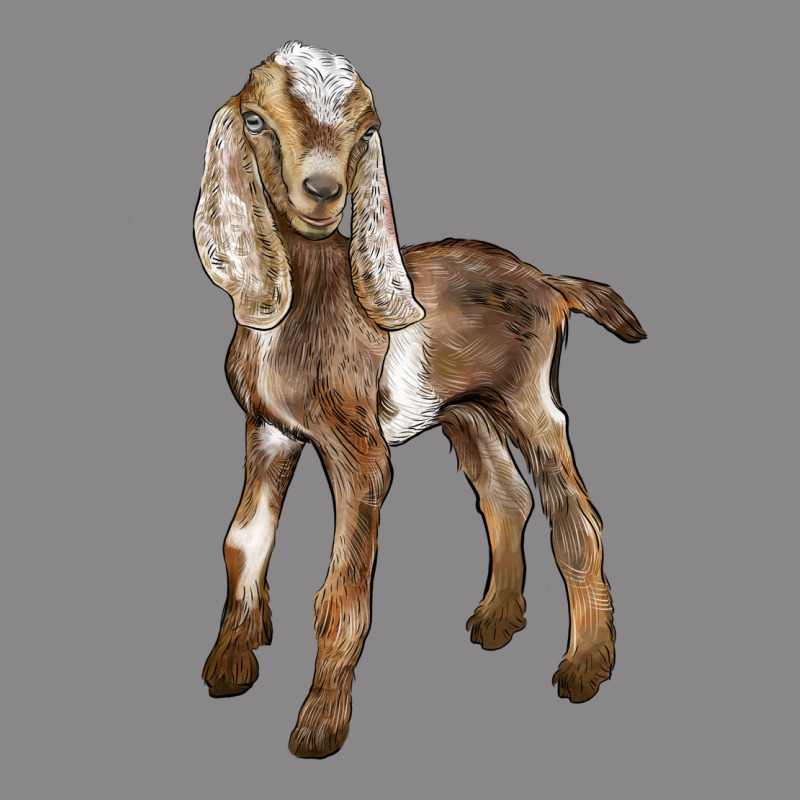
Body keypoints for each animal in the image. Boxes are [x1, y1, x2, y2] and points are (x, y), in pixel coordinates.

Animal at [194, 42, 646, 759]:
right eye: (257, 122)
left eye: (364, 134)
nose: (323, 193)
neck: (311, 293)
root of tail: (549, 280)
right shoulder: (268, 430)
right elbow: (243, 542)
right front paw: (230, 664)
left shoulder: (359, 456)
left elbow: (341, 593)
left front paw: (319, 725)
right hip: (468, 410)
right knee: (505, 497)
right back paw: (497, 619)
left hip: (530, 398)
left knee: (575, 517)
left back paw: (584, 668)